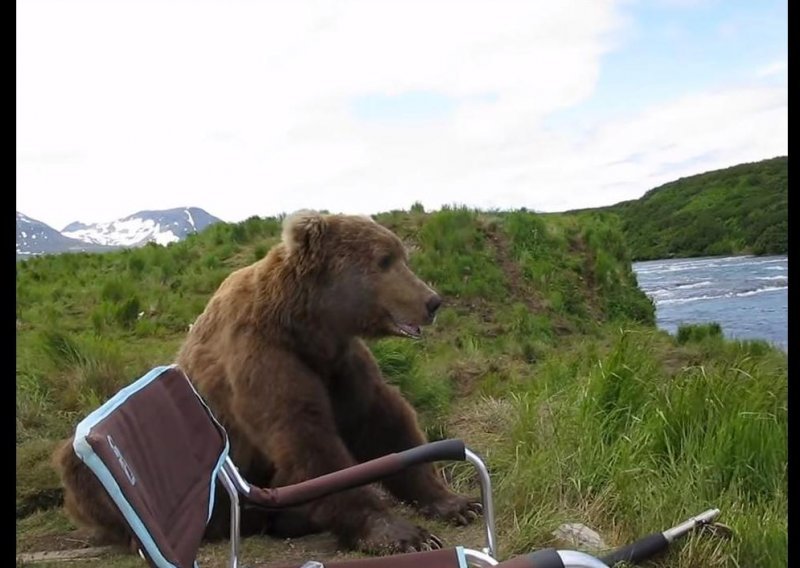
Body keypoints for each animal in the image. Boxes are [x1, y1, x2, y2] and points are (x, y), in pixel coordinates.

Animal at [57, 210, 482, 556]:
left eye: (401, 256)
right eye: (384, 260)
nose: (432, 301)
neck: (306, 325)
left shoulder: (338, 363)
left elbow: (382, 420)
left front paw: (457, 503)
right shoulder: (262, 355)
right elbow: (305, 437)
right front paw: (400, 533)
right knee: (79, 471)